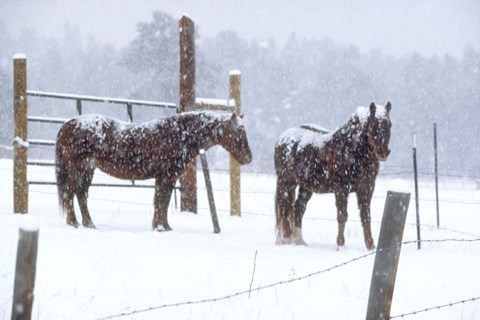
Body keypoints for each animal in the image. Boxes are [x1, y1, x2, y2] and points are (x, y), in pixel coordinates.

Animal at [54, 110, 253, 230]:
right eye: (239, 131)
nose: (248, 158)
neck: (179, 134)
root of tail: (67, 124)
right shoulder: (164, 177)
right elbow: (160, 201)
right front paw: (159, 227)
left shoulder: (170, 178)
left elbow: (163, 202)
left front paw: (165, 226)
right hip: (78, 169)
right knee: (70, 193)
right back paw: (73, 223)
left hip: (87, 171)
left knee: (81, 194)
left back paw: (89, 223)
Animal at [276, 102, 392, 250]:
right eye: (373, 125)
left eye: (389, 125)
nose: (383, 152)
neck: (352, 151)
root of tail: (282, 139)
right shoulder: (341, 189)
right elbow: (342, 216)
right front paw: (340, 245)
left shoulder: (366, 189)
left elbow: (366, 216)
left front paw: (371, 246)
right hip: (286, 182)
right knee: (285, 208)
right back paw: (287, 240)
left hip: (305, 188)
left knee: (298, 208)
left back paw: (300, 242)